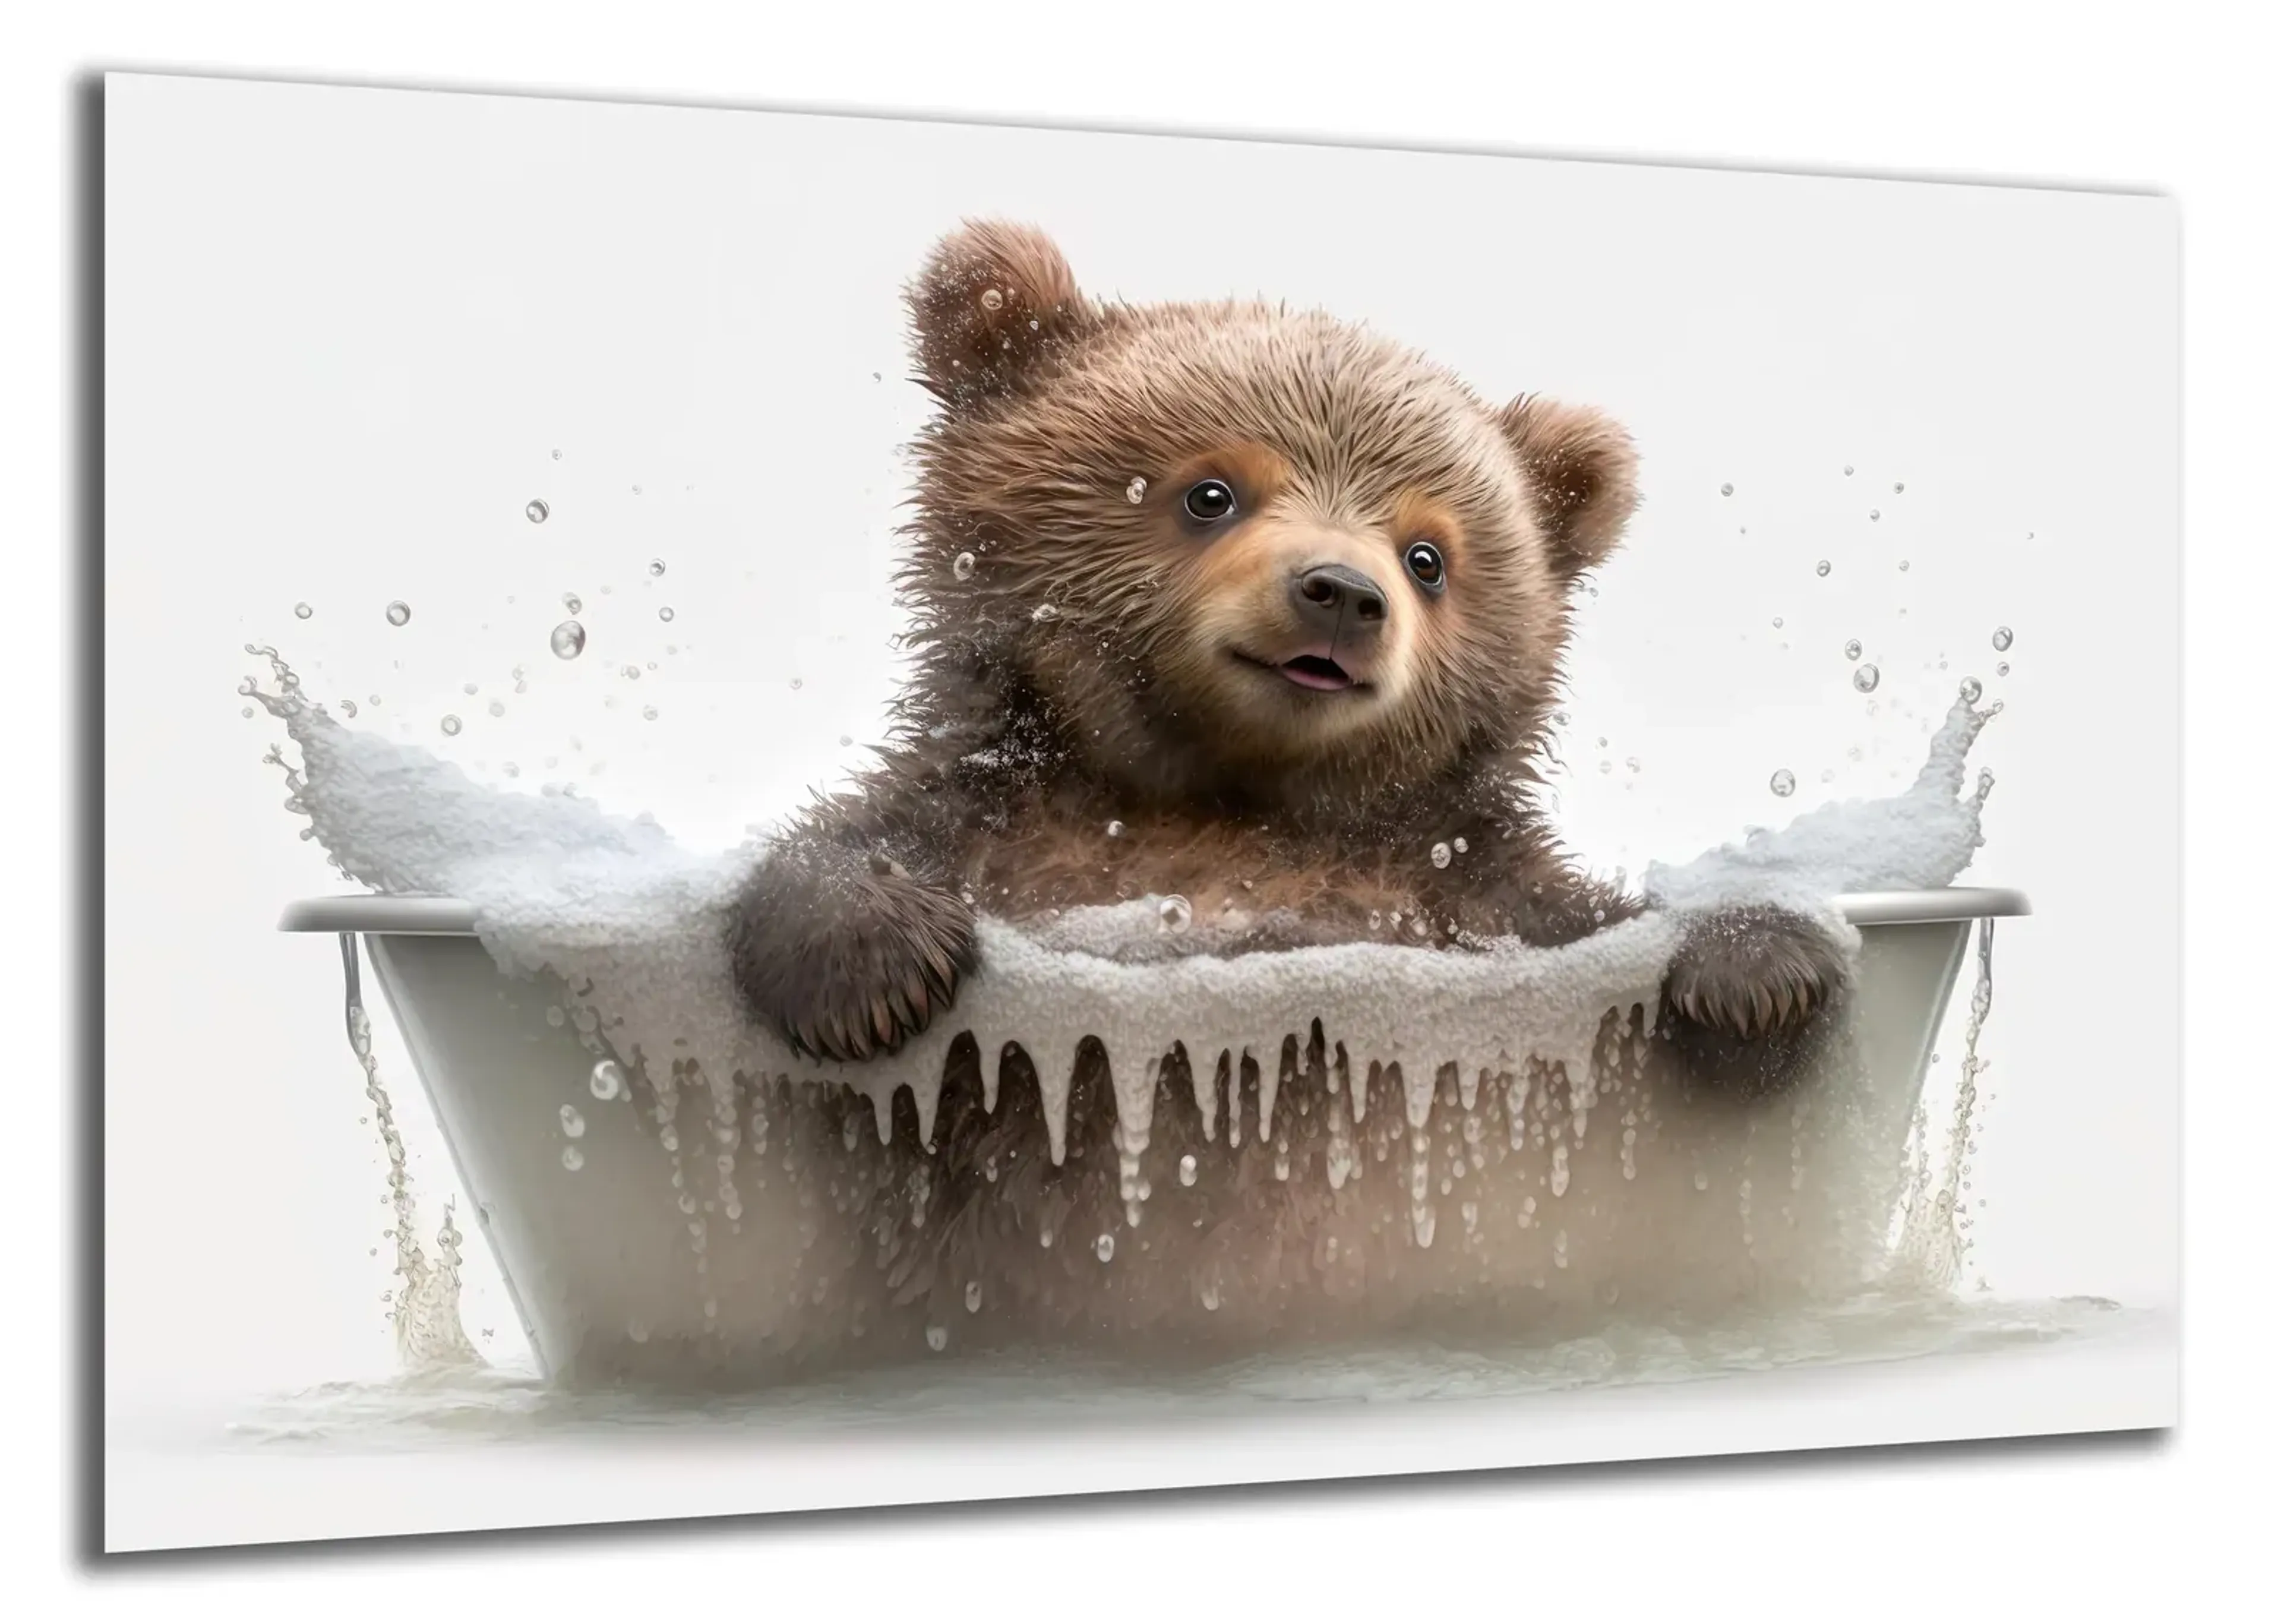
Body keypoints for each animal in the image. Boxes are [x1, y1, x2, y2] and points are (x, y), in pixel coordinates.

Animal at [726, 219, 1843, 1091]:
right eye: (1209, 491)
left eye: (1429, 555)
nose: (1342, 594)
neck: (1230, 797)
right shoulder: (1005, 824)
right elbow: (844, 843)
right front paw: (875, 960)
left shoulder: (1461, 888)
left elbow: (1594, 914)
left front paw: (1758, 962)